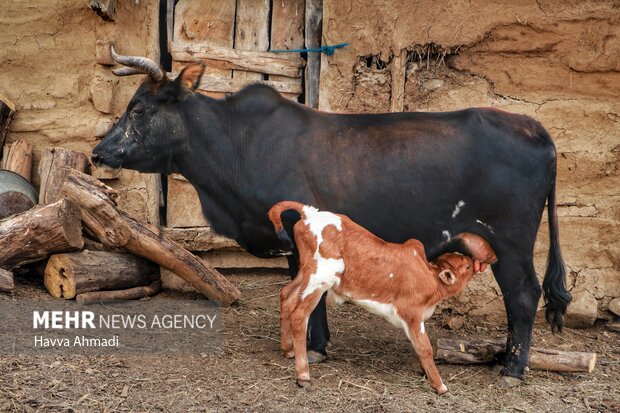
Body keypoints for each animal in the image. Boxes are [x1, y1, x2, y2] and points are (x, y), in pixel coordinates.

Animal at [268, 201, 496, 394]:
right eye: (467, 267)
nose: (477, 261)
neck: (430, 278)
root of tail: (310, 212)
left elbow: (419, 345)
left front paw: (426, 373)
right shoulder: (411, 313)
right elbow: (425, 347)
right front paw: (440, 386)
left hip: (306, 273)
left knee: (286, 296)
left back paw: (288, 350)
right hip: (320, 278)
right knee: (299, 315)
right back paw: (303, 375)